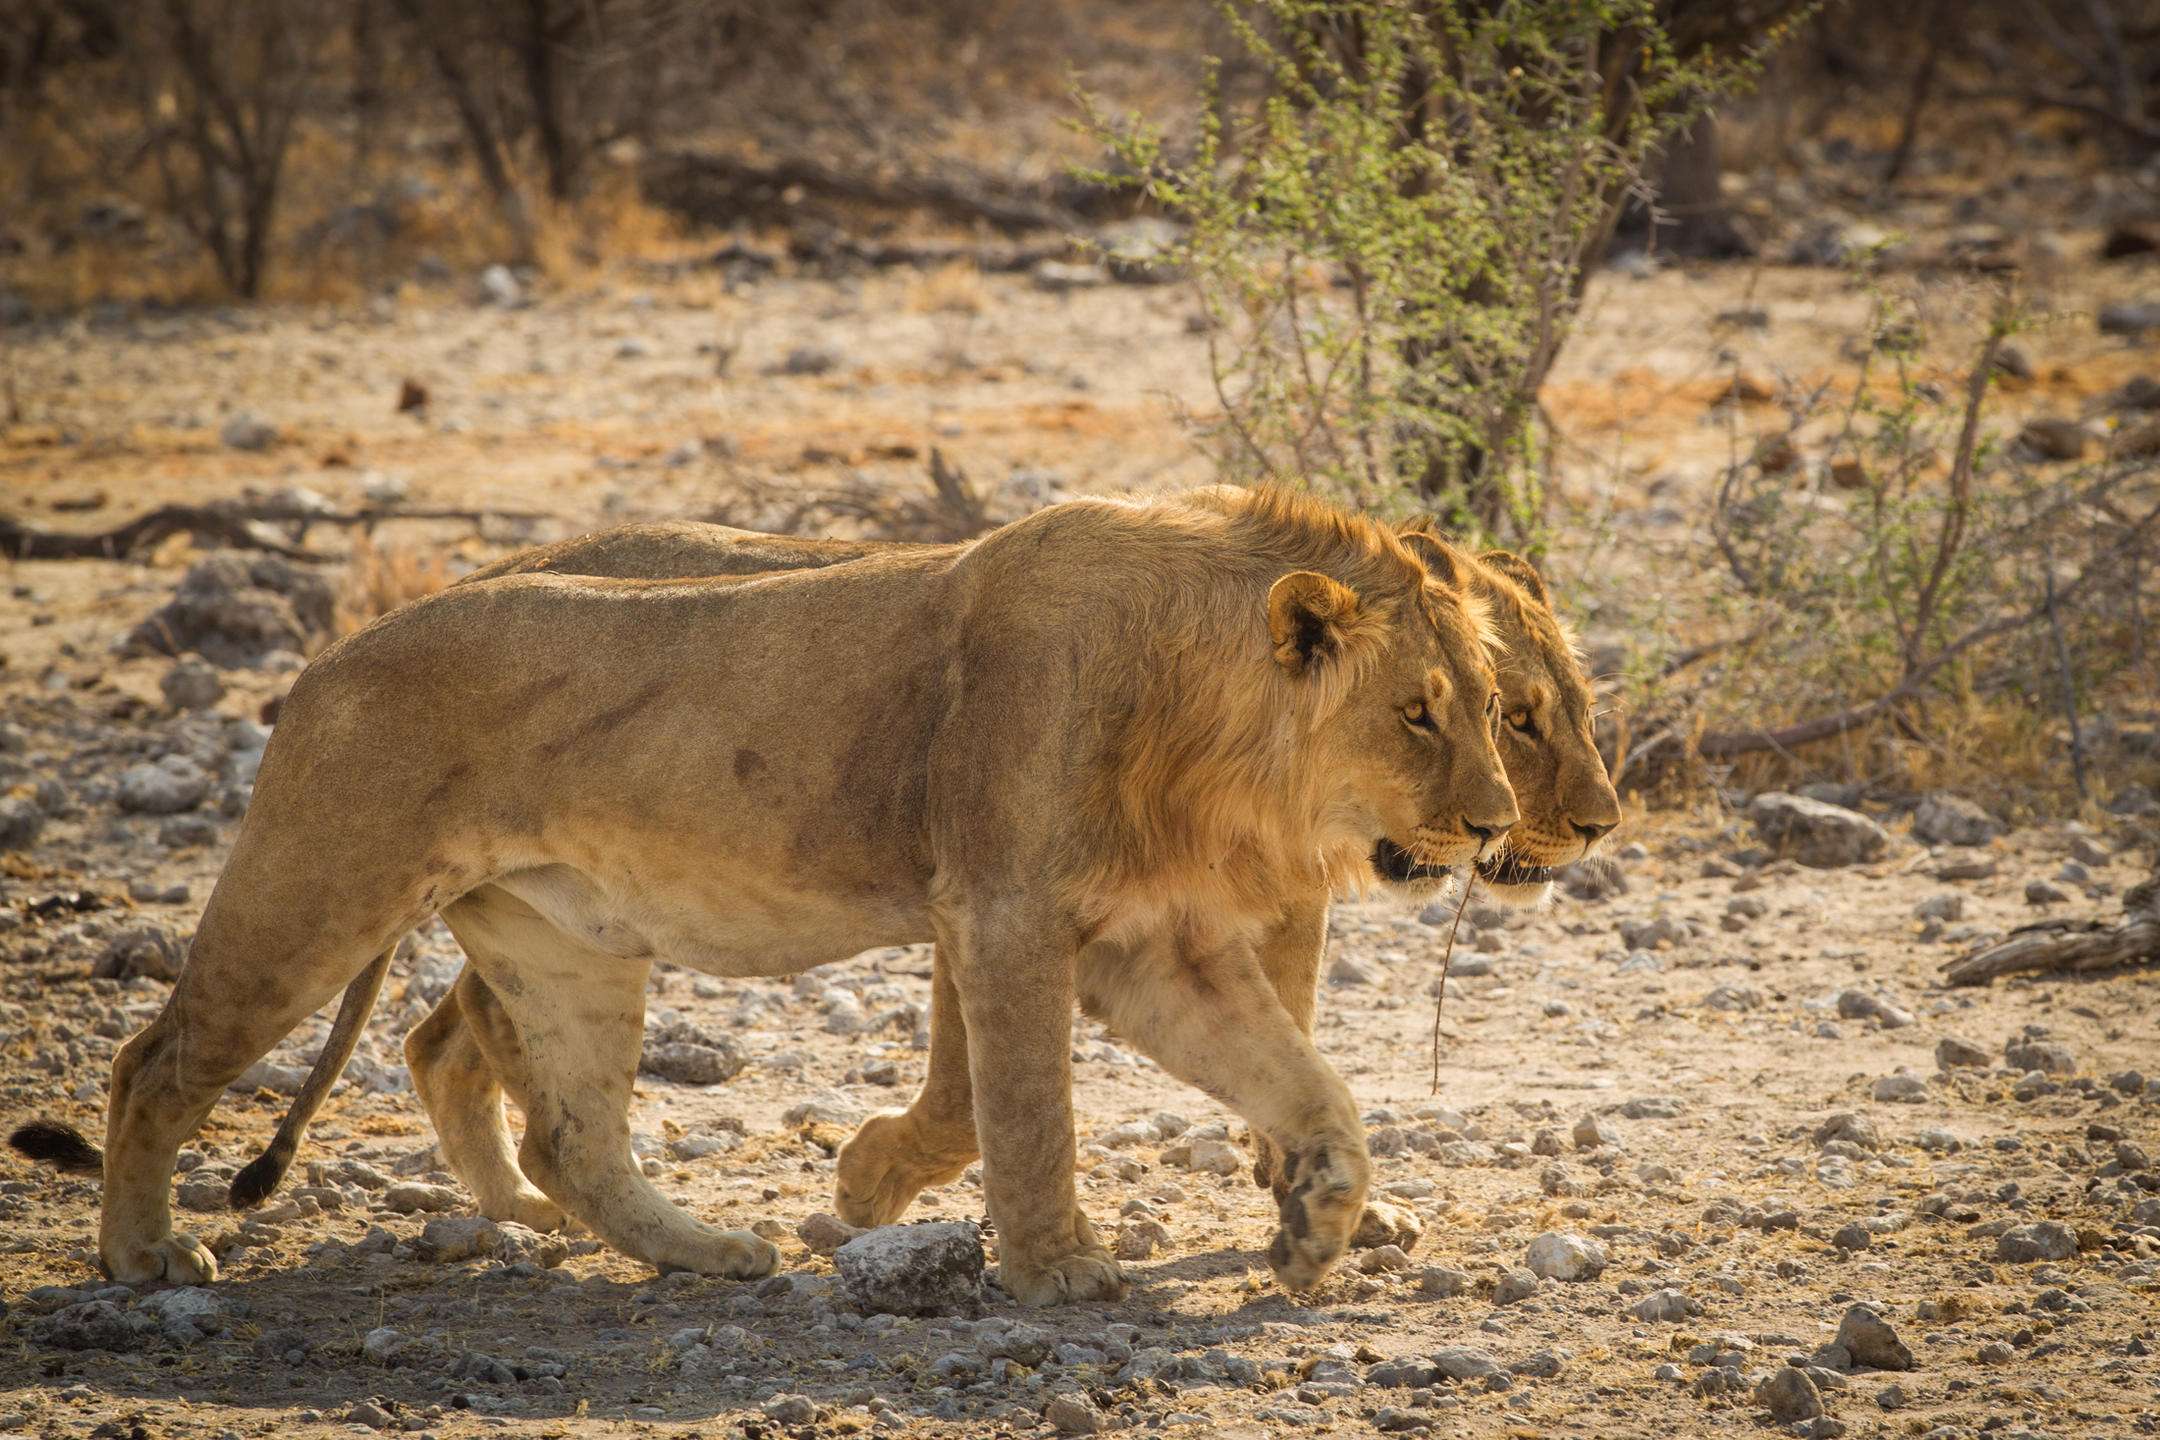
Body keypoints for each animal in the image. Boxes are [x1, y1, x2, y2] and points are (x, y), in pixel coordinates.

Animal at [8, 487, 1520, 1303]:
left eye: (1492, 705)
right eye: (1419, 714)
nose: (1499, 825)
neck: (1206, 725)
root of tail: (328, 656)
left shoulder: (1150, 945)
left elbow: (1310, 1086)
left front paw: (1317, 1230)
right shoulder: (1007, 910)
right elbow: (1030, 1113)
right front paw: (1052, 1271)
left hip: (562, 941)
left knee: (568, 1131)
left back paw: (702, 1253)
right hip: (319, 889)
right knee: (153, 1060)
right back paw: (142, 1260)